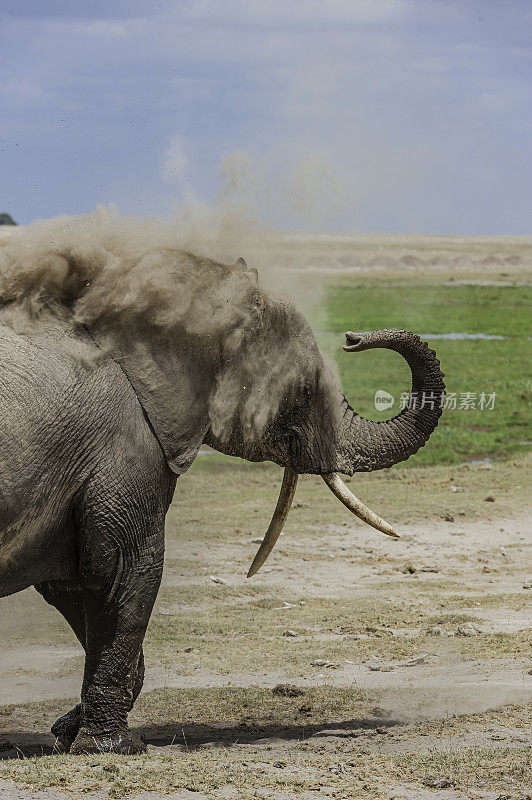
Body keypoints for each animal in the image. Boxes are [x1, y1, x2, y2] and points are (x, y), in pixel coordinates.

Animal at [0, 222, 442, 752]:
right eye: (303, 390)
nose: (354, 338)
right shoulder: (124, 448)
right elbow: (122, 572)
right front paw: (114, 747)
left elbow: (72, 584)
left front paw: (68, 733)